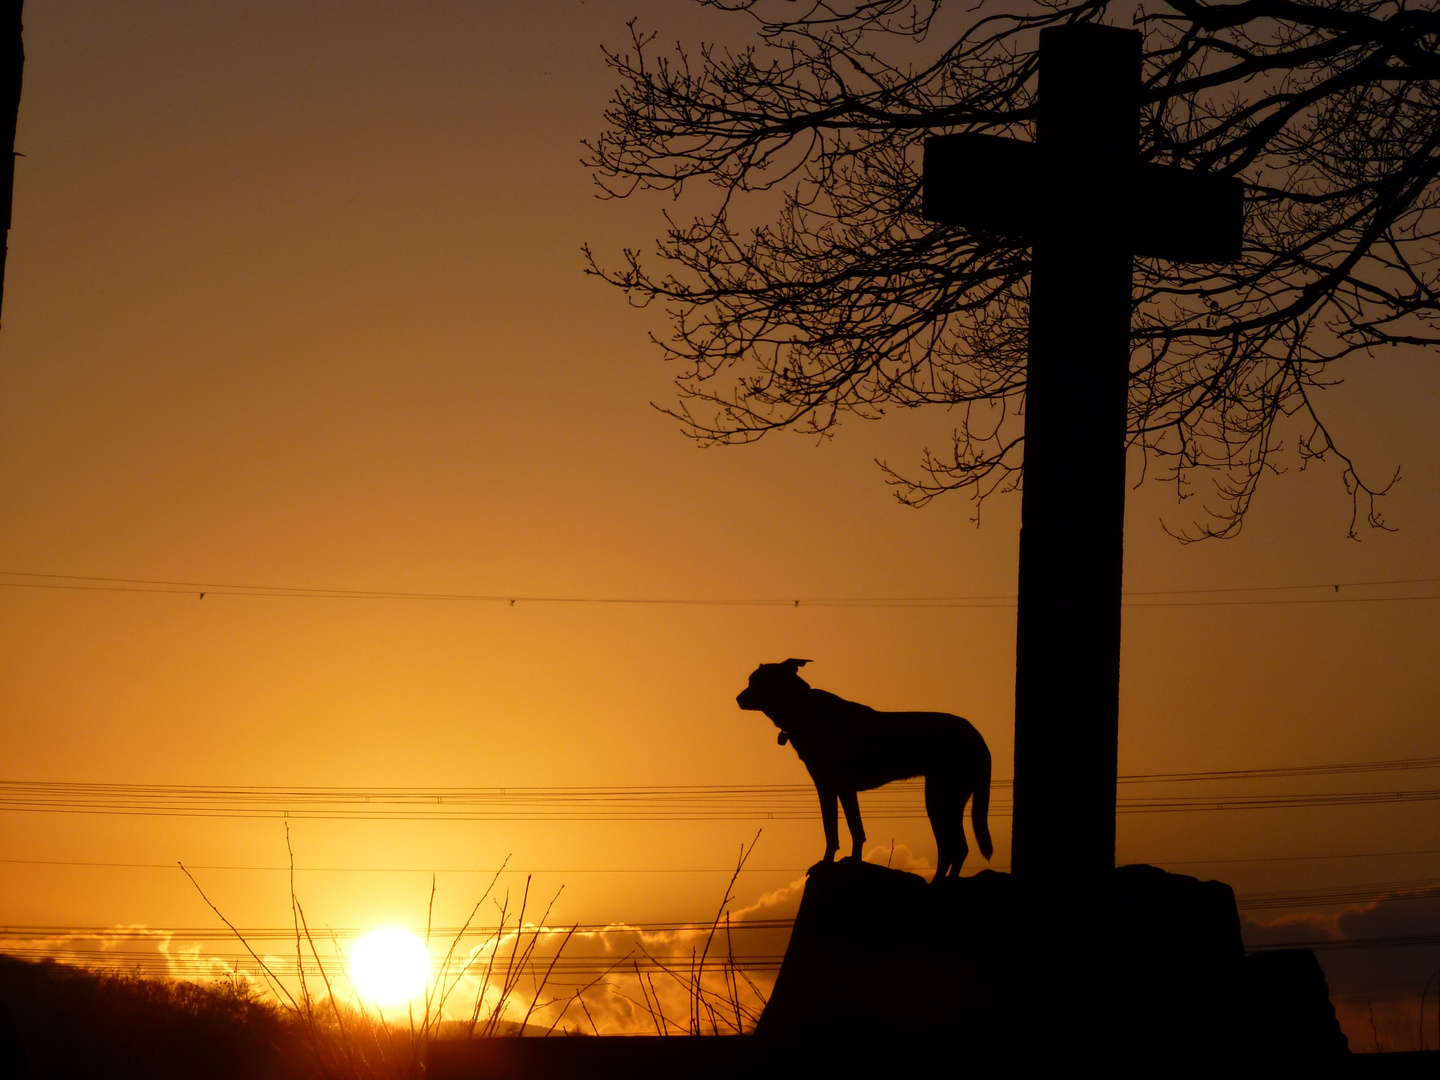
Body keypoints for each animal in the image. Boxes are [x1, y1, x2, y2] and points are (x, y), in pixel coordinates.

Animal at [743, 659, 990, 881]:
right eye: (751, 680)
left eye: (759, 682)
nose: (738, 698)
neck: (801, 708)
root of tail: (977, 736)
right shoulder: (839, 789)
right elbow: (849, 829)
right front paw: (849, 860)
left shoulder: (832, 787)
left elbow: (837, 830)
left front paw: (830, 863)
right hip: (945, 799)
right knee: (955, 848)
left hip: (940, 798)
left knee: (955, 847)